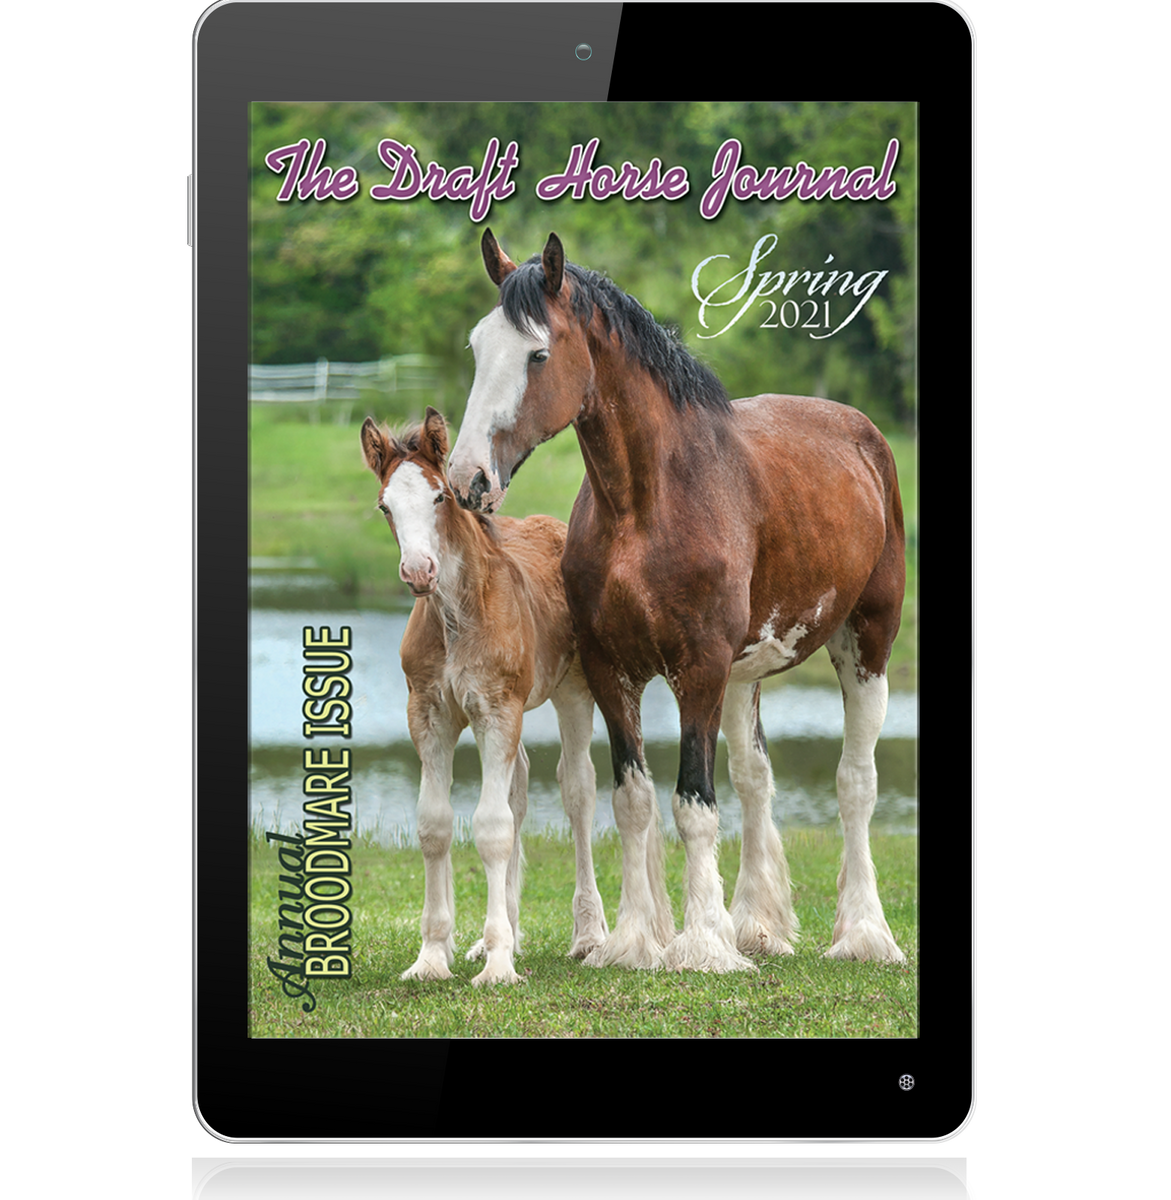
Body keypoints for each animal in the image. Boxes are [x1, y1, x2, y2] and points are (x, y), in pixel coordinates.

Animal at [360, 407, 608, 985]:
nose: (419, 571)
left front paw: (498, 965)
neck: (456, 616)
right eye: (385, 505)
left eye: (439, 498)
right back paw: (508, 935)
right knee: (519, 787)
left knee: (578, 790)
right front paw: (434, 956)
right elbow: (435, 824)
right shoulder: (430, 714)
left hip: (572, 692)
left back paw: (589, 935)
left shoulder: (497, 710)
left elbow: (492, 828)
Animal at [448, 231, 908, 973]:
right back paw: (757, 924)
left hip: (866, 644)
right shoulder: (614, 671)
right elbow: (634, 801)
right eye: (477, 347)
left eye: (537, 354)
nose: (468, 479)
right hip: (745, 675)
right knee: (755, 778)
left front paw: (701, 947)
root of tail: (860, 434)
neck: (650, 502)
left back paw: (864, 935)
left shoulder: (698, 668)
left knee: (854, 783)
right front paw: (635, 941)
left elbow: (694, 804)